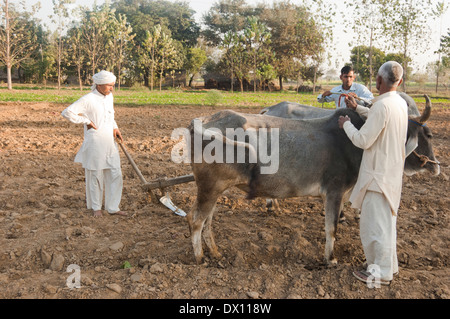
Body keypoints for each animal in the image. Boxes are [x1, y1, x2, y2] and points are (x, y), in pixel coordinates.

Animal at [185, 97, 440, 264]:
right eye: (427, 135)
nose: (436, 166)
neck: (354, 141)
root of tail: (202, 120)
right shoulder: (334, 191)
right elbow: (331, 227)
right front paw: (330, 259)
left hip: (216, 190)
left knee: (206, 222)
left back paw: (215, 252)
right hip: (209, 188)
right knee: (195, 220)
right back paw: (199, 257)